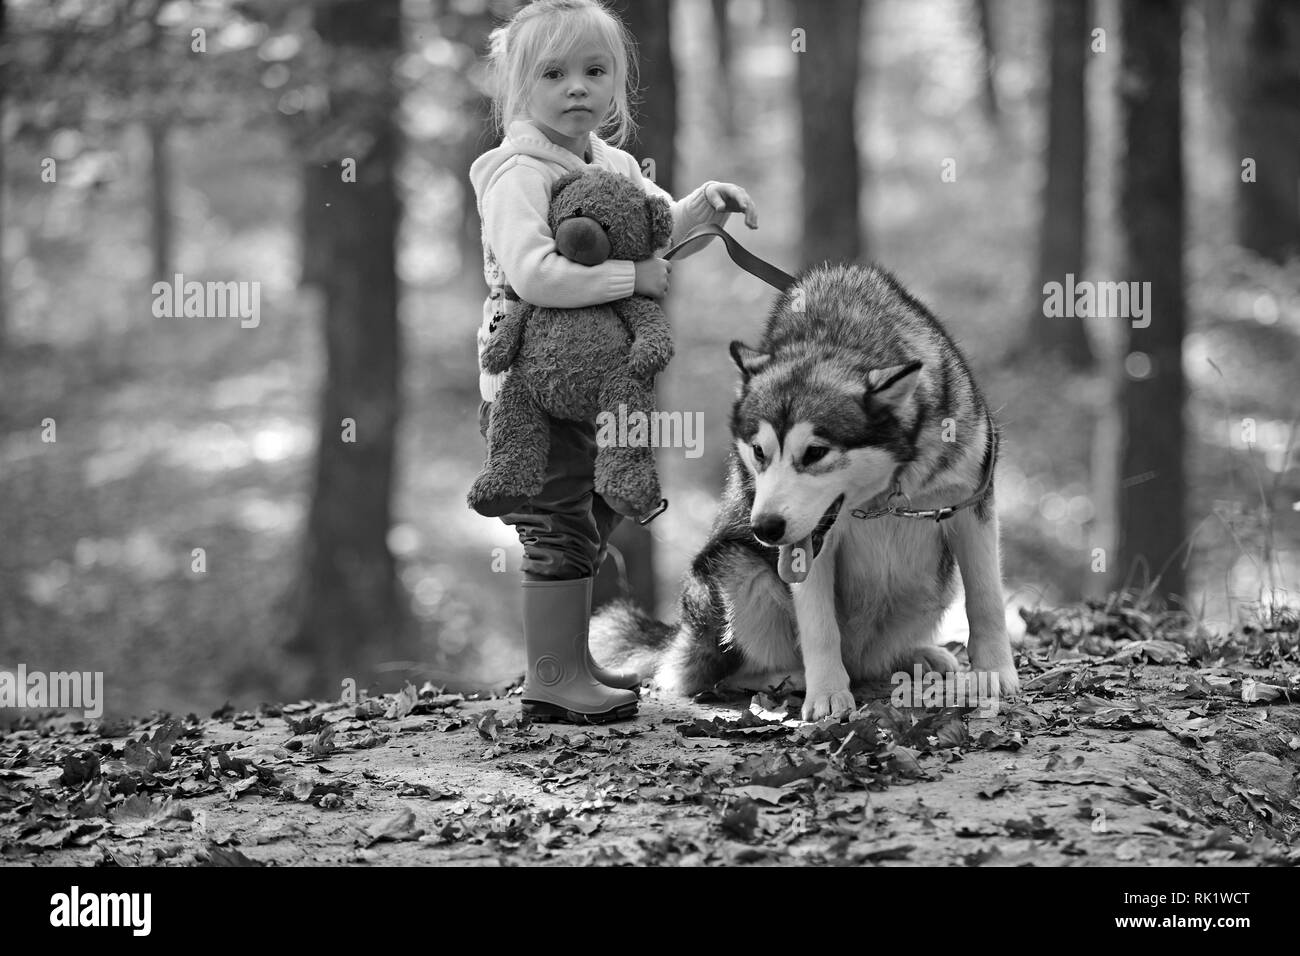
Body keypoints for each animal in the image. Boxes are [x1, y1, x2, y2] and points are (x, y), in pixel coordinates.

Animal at [592, 261, 1024, 717]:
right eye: (759, 451)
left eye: (815, 452)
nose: (766, 528)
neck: (884, 494)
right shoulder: (805, 550)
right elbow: (818, 627)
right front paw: (829, 694)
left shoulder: (972, 504)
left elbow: (986, 598)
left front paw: (995, 673)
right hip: (732, 568)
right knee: (716, 676)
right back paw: (789, 678)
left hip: (929, 589)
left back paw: (917, 657)